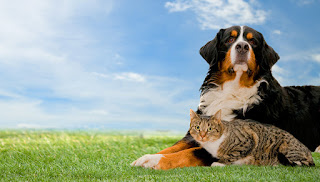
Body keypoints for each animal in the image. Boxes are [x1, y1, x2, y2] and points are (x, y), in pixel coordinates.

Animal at [131, 25, 320, 169]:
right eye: (230, 39)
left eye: (252, 41)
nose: (242, 46)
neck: (233, 88)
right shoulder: (194, 133)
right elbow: (172, 147)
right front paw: (145, 157)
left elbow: (188, 153)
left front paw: (154, 161)